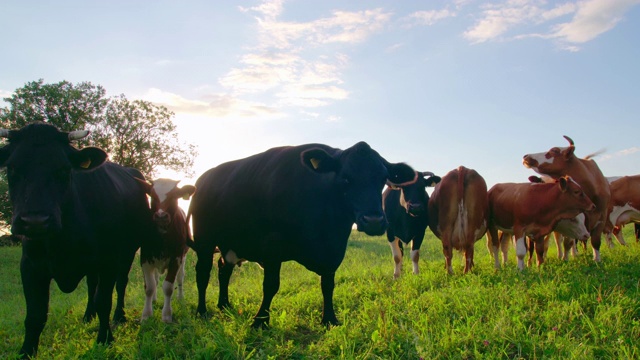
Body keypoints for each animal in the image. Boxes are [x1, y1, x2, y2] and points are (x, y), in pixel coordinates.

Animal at [0, 123, 159, 358]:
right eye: (12, 168)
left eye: (64, 169)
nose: (35, 221)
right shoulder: (30, 265)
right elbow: (35, 314)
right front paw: (26, 351)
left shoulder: (109, 259)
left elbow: (104, 300)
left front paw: (105, 338)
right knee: (92, 284)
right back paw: (87, 315)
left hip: (128, 250)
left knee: (120, 283)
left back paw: (119, 316)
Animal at [140, 179, 198, 322]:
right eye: (153, 195)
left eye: (174, 195)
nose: (161, 216)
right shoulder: (145, 258)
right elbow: (149, 286)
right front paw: (146, 315)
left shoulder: (176, 258)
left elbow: (168, 287)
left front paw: (166, 315)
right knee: (155, 280)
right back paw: (154, 300)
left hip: (183, 258)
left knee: (180, 278)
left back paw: (180, 297)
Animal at [189, 141, 420, 330]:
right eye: (345, 178)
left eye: (382, 179)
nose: (373, 221)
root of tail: (203, 180)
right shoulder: (273, 246)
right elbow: (271, 285)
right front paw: (260, 321)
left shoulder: (334, 250)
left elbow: (328, 284)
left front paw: (329, 319)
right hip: (204, 240)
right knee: (203, 273)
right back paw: (202, 311)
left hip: (231, 244)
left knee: (223, 269)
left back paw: (224, 305)